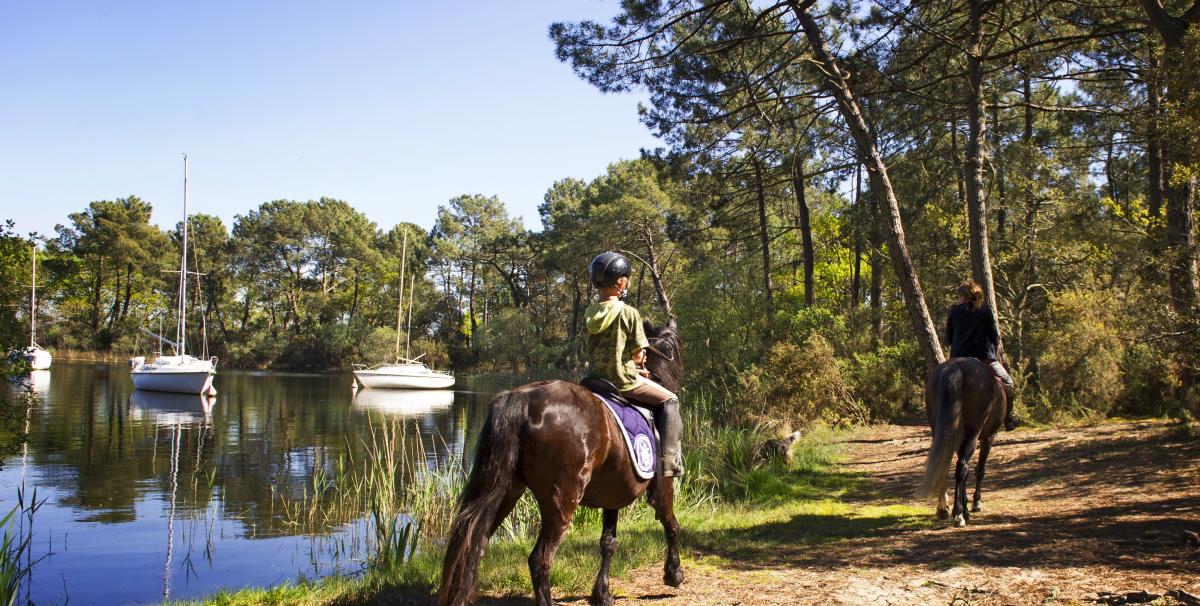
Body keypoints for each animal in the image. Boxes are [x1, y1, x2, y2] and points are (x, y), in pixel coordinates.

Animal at [437, 319, 685, 606]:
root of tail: (521, 398)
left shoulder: (612, 496)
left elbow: (608, 543)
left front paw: (602, 594)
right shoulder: (664, 487)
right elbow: (671, 525)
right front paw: (674, 574)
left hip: (506, 491)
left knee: (475, 545)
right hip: (562, 501)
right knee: (540, 559)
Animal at [916, 357, 1006, 527]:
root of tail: (955, 366)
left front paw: (965, 507)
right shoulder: (989, 437)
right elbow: (979, 470)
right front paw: (975, 504)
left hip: (941, 429)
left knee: (944, 462)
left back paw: (943, 509)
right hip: (973, 432)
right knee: (961, 467)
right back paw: (958, 514)